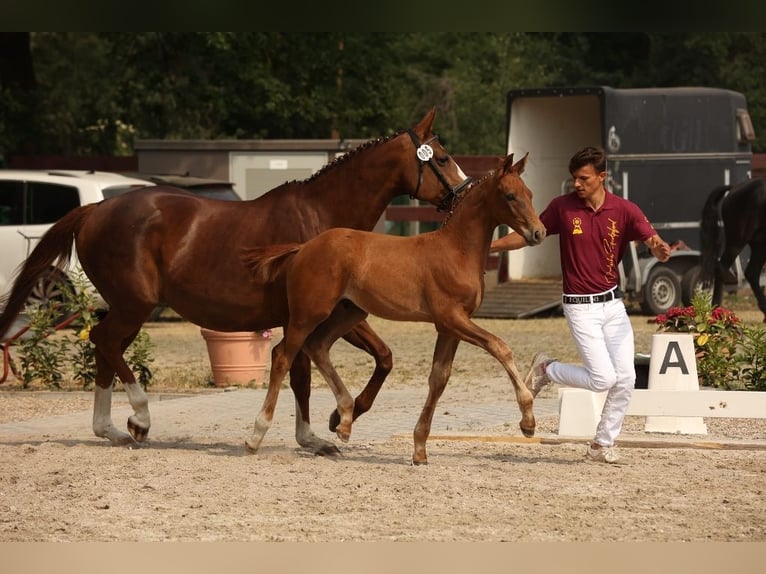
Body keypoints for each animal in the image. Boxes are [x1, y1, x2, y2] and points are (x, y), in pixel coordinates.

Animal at [0, 110, 474, 456]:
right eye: (442, 158)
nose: (466, 192)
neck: (320, 217)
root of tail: (95, 211)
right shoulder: (319, 313)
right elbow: (314, 366)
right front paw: (329, 424)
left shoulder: (319, 315)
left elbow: (349, 363)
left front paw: (325, 429)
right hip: (134, 304)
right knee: (106, 343)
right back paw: (140, 417)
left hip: (125, 307)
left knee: (104, 347)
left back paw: (112, 429)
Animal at [243, 152, 548, 464]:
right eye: (510, 196)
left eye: (530, 194)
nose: (539, 232)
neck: (456, 251)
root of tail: (303, 248)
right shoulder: (451, 318)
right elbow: (500, 347)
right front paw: (528, 421)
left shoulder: (450, 326)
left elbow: (439, 378)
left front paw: (419, 449)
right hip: (308, 314)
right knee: (283, 356)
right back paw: (256, 435)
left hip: (349, 312)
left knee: (317, 347)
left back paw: (344, 421)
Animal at [704, 179, 766, 324]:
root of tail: (735, 188)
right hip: (736, 243)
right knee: (721, 268)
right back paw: (716, 310)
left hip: (759, 245)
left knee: (752, 273)